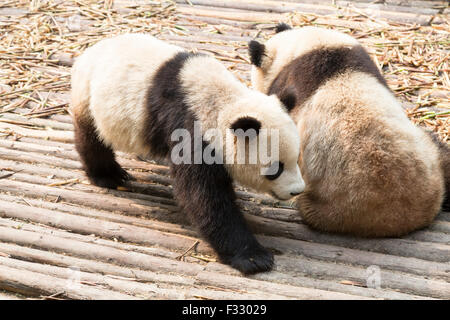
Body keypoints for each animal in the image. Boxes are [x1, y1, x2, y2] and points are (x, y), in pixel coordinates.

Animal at [70, 32, 304, 274]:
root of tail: (90, 50)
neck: (225, 103)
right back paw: (108, 175)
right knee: (91, 137)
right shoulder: (189, 128)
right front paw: (253, 257)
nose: (297, 190)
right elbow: (202, 197)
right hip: (89, 95)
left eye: (297, 158)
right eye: (275, 168)